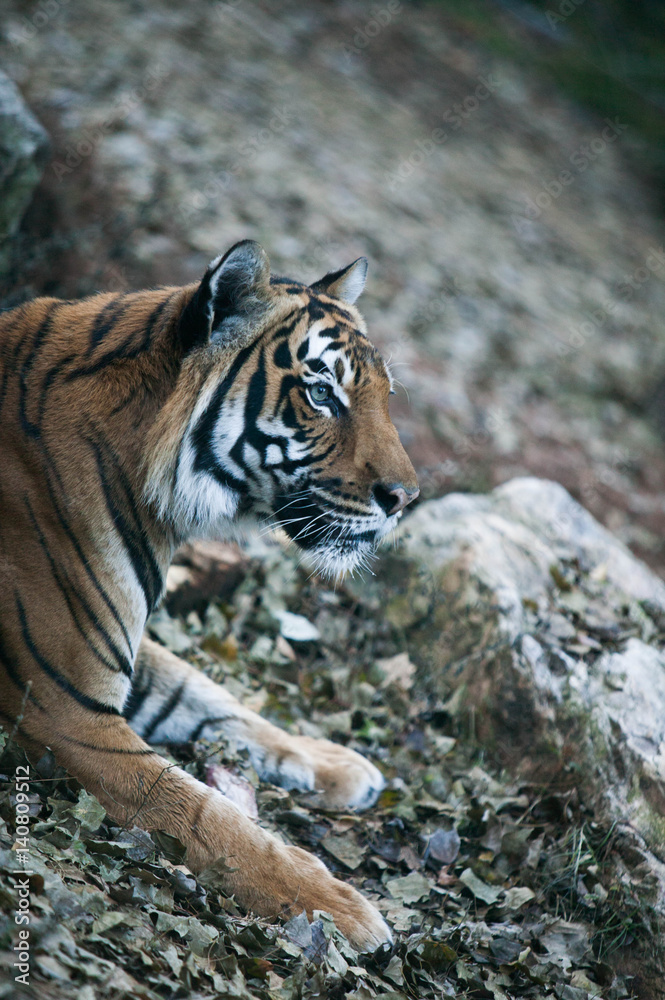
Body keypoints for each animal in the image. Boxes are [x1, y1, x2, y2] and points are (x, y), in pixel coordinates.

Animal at [0, 240, 419, 951]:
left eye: (385, 396)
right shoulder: (63, 713)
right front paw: (342, 909)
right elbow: (207, 815)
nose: (406, 499)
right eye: (321, 393)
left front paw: (336, 762)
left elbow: (214, 698)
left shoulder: (111, 656)